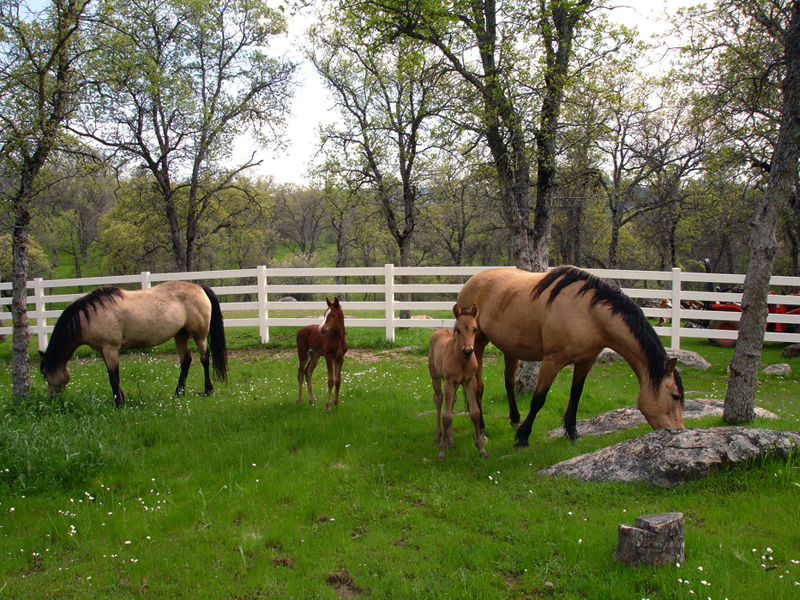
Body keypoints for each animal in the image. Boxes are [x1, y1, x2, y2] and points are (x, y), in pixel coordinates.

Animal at [40, 282, 228, 408]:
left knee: (204, 359)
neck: (91, 316)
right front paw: (121, 399)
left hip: (199, 335)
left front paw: (119, 404)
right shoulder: (104, 351)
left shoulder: (110, 349)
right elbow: (113, 377)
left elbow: (113, 377)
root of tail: (199, 287)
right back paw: (178, 393)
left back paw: (207, 391)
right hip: (180, 335)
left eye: (45, 374)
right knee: (186, 361)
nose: (50, 399)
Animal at [424, 302, 488, 462]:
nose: (468, 351)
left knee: (452, 401)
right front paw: (441, 452)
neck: (461, 361)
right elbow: (446, 416)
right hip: (436, 378)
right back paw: (438, 436)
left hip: (456, 384)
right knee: (439, 399)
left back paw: (451, 440)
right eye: (458, 329)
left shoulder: (470, 382)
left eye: (475, 329)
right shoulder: (448, 381)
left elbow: (475, 413)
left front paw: (481, 449)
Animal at [460, 268, 684, 446]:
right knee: (478, 386)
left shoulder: (586, 360)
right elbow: (538, 399)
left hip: (510, 347)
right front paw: (523, 437)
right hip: (477, 344)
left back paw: (514, 419)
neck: (589, 314)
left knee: (509, 382)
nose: (679, 431)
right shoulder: (552, 361)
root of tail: (472, 280)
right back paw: (482, 429)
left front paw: (572, 432)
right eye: (675, 396)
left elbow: (576, 394)